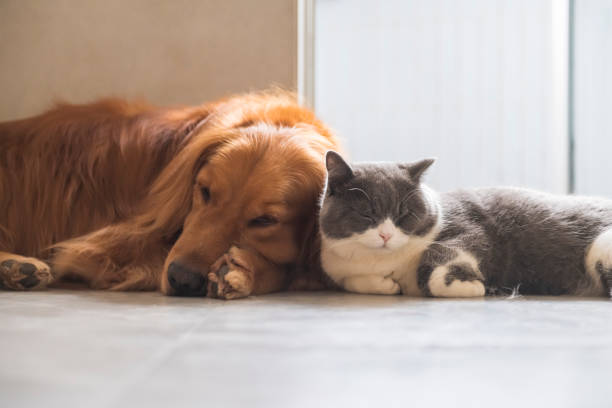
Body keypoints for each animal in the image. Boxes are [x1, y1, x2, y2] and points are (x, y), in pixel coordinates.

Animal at [318, 151, 612, 298]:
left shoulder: (470, 228)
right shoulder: (339, 269)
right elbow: (352, 281)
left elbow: (438, 259)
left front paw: (472, 287)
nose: (386, 235)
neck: (384, 262)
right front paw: (386, 285)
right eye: (367, 213)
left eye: (404, 213)